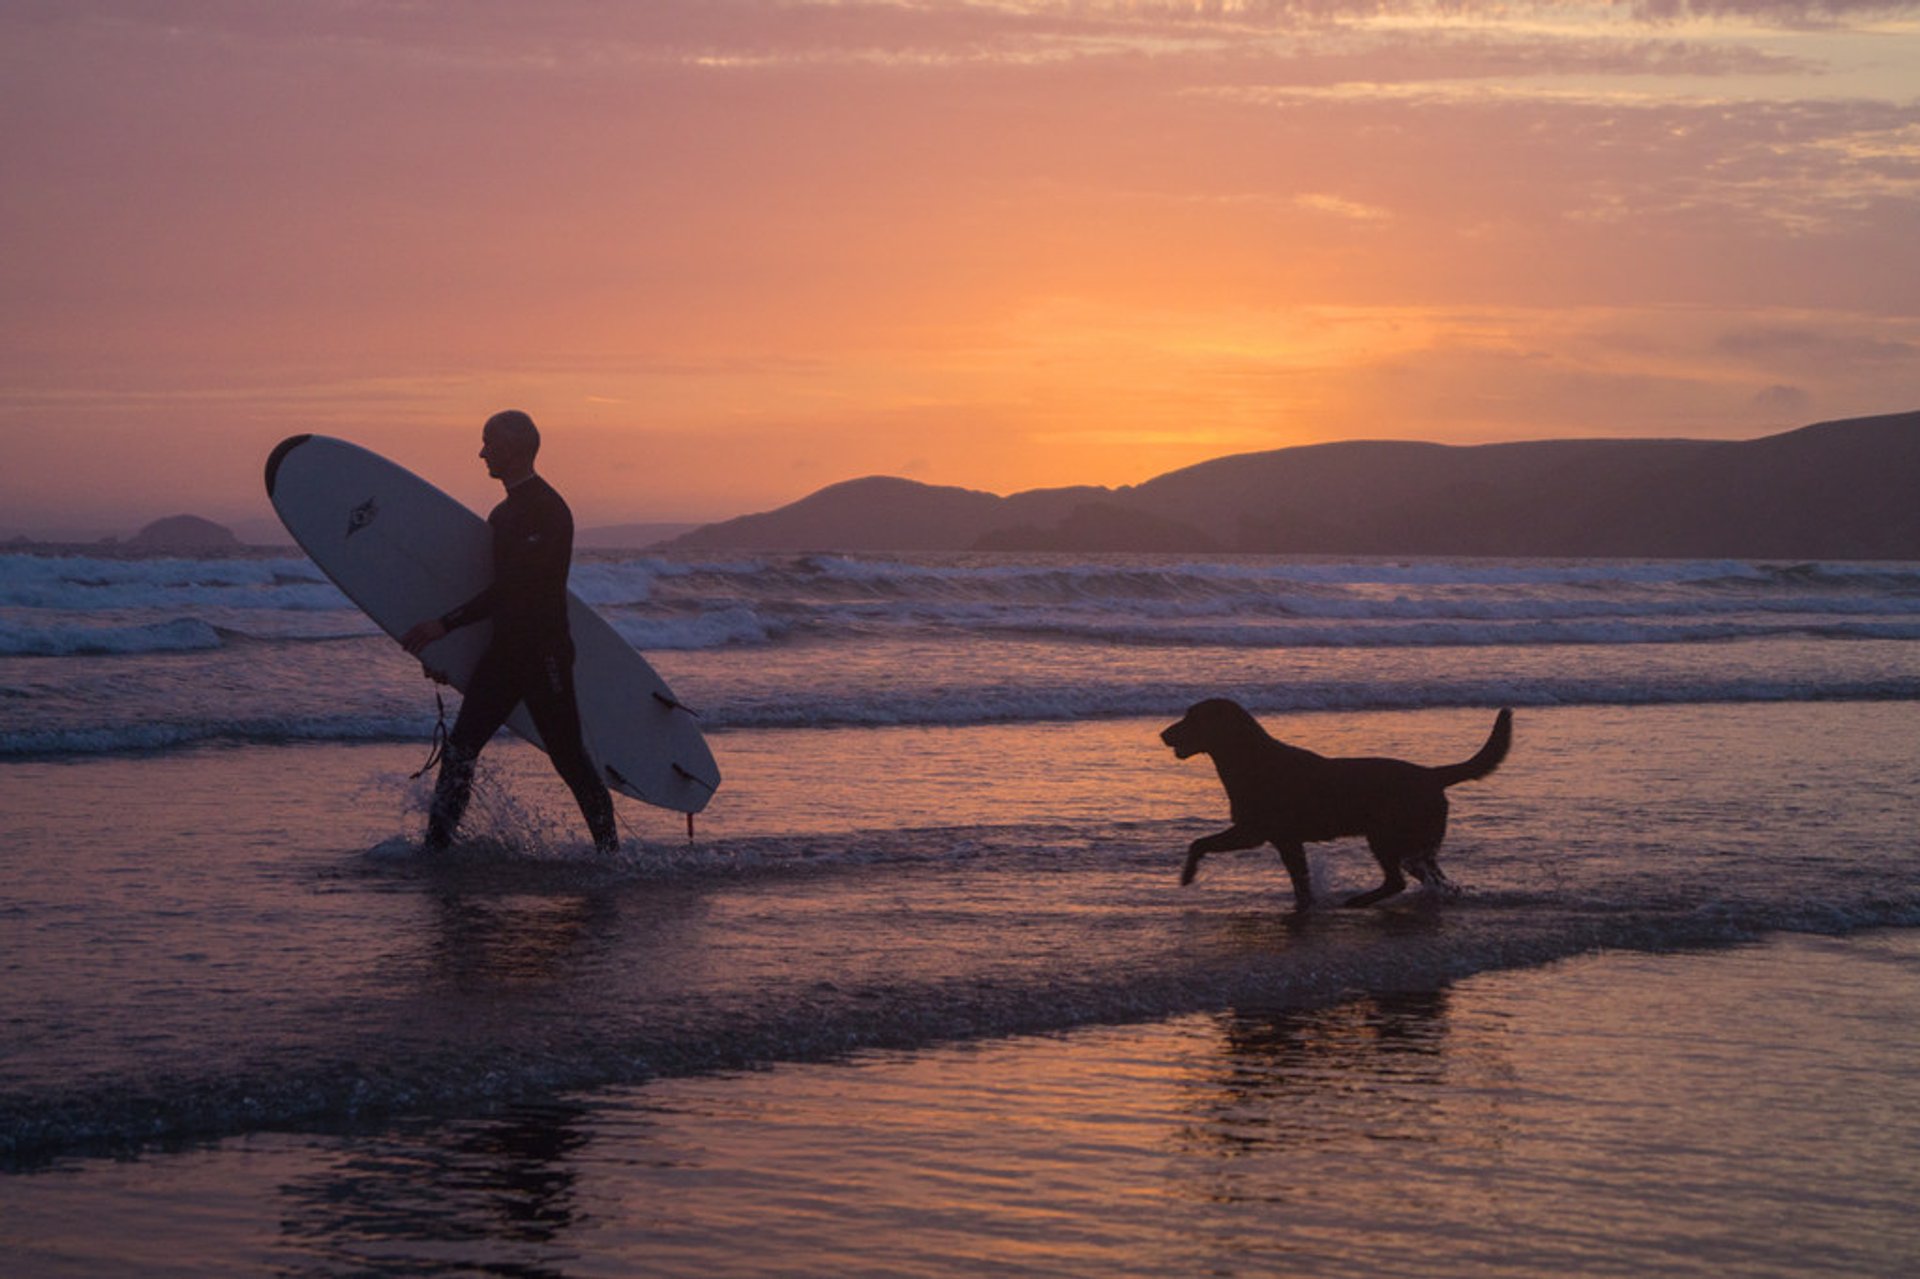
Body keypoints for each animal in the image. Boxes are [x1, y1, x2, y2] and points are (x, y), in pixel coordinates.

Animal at [1152, 699, 1512, 906]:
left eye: (1192, 718)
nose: (1163, 734)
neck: (1250, 758)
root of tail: (1432, 775)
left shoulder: (1252, 831)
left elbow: (1198, 842)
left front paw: (1187, 876)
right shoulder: (1286, 841)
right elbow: (1301, 881)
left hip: (1387, 838)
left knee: (1397, 880)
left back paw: (1358, 901)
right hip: (1414, 845)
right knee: (1434, 879)